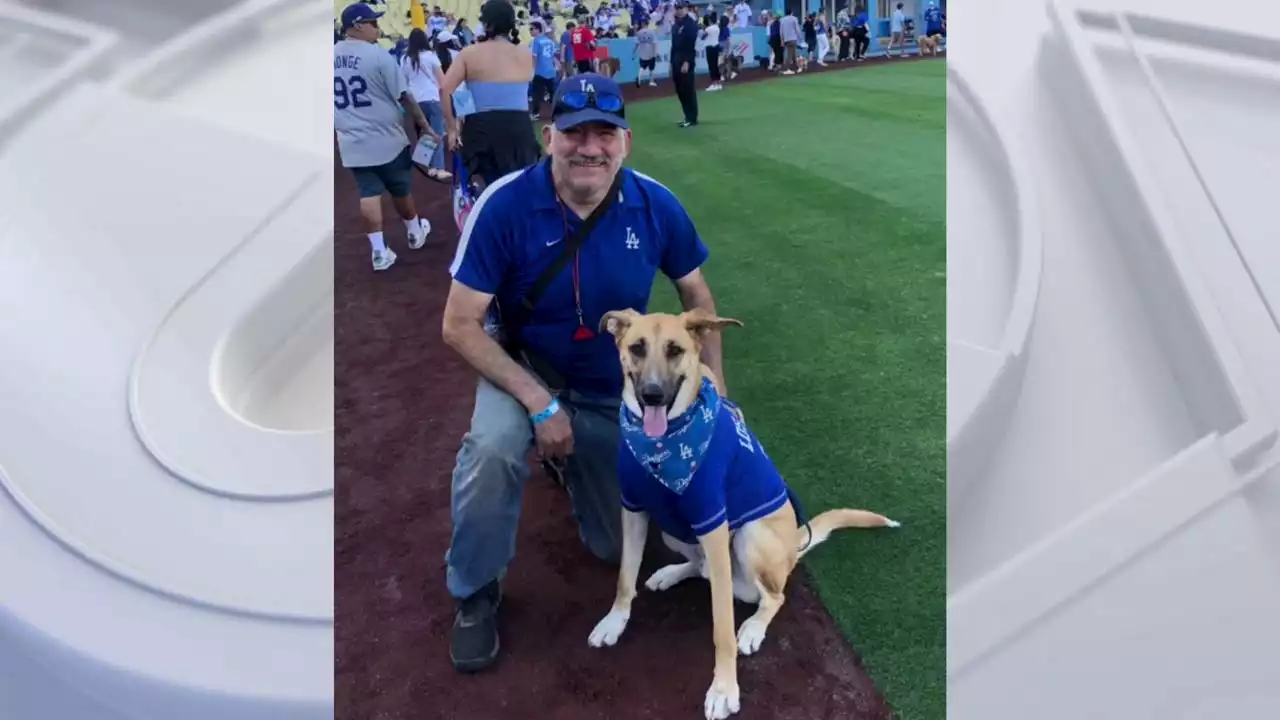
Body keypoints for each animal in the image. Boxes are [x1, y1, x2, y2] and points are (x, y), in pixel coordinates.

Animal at [586, 304, 896, 712]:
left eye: (674, 350)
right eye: (636, 347)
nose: (652, 395)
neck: (664, 446)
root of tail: (793, 548)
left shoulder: (714, 525)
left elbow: (722, 628)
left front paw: (723, 689)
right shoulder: (634, 508)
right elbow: (625, 576)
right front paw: (614, 621)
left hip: (751, 537)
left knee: (772, 596)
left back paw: (752, 628)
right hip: (673, 530)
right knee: (701, 568)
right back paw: (671, 573)